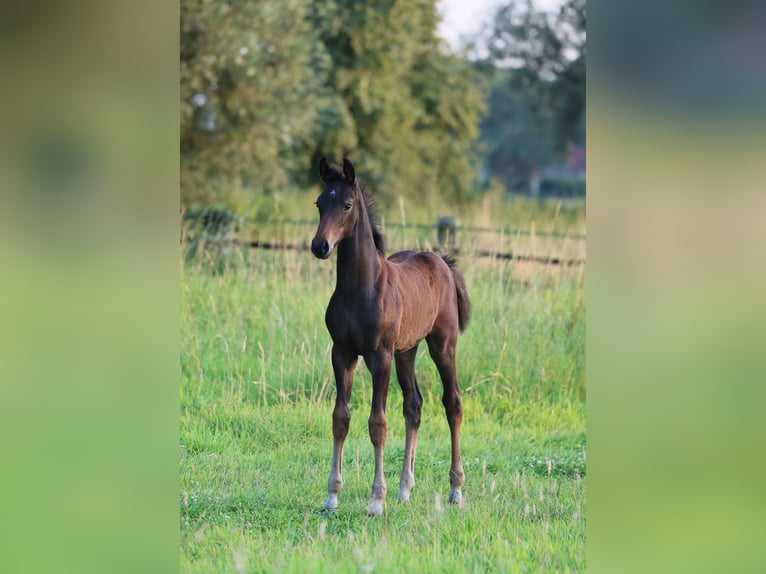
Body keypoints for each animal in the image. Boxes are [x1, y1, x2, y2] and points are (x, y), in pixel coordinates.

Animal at [310, 158, 468, 516]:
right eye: (319, 203)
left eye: (347, 205)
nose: (320, 246)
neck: (360, 288)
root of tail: (443, 262)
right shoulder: (342, 353)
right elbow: (340, 418)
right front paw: (332, 496)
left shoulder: (378, 356)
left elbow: (377, 424)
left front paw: (375, 500)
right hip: (406, 351)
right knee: (414, 406)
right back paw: (405, 488)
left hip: (442, 345)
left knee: (452, 402)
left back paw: (455, 489)